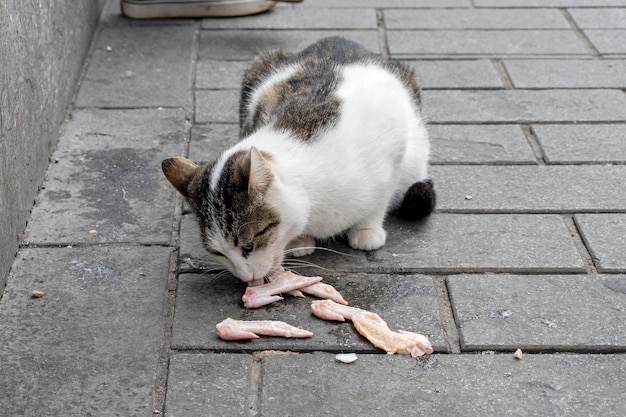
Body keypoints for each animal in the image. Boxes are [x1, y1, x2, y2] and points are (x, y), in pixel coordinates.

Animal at [161, 36, 434, 282]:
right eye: (218, 253)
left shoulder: (393, 145)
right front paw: (301, 241)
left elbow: (379, 200)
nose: (245, 278)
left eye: (249, 244)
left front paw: (367, 229)